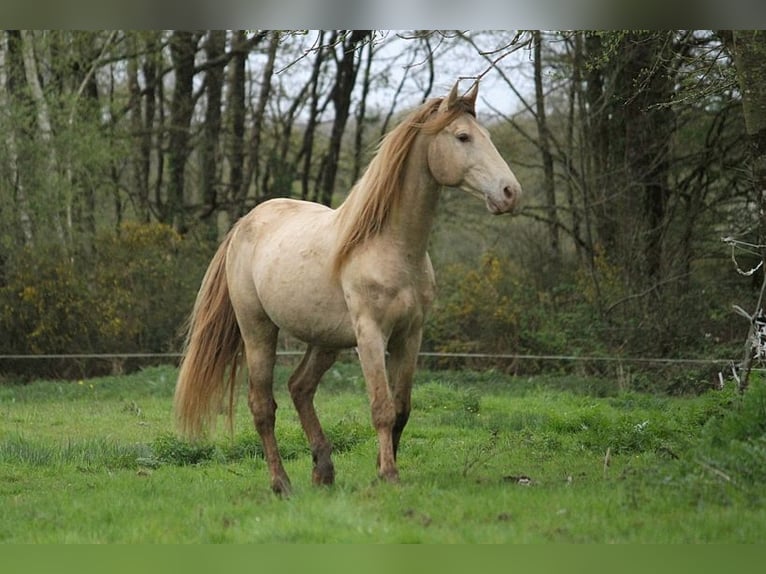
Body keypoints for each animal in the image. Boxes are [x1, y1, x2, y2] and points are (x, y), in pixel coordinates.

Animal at [174, 80, 520, 496]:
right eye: (463, 136)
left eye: (487, 136)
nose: (510, 192)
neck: (390, 246)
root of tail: (245, 223)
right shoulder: (370, 335)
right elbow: (382, 408)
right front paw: (388, 475)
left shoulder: (410, 336)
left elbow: (402, 408)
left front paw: (381, 468)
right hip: (258, 330)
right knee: (263, 407)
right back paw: (281, 483)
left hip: (325, 340)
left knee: (300, 388)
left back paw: (323, 470)